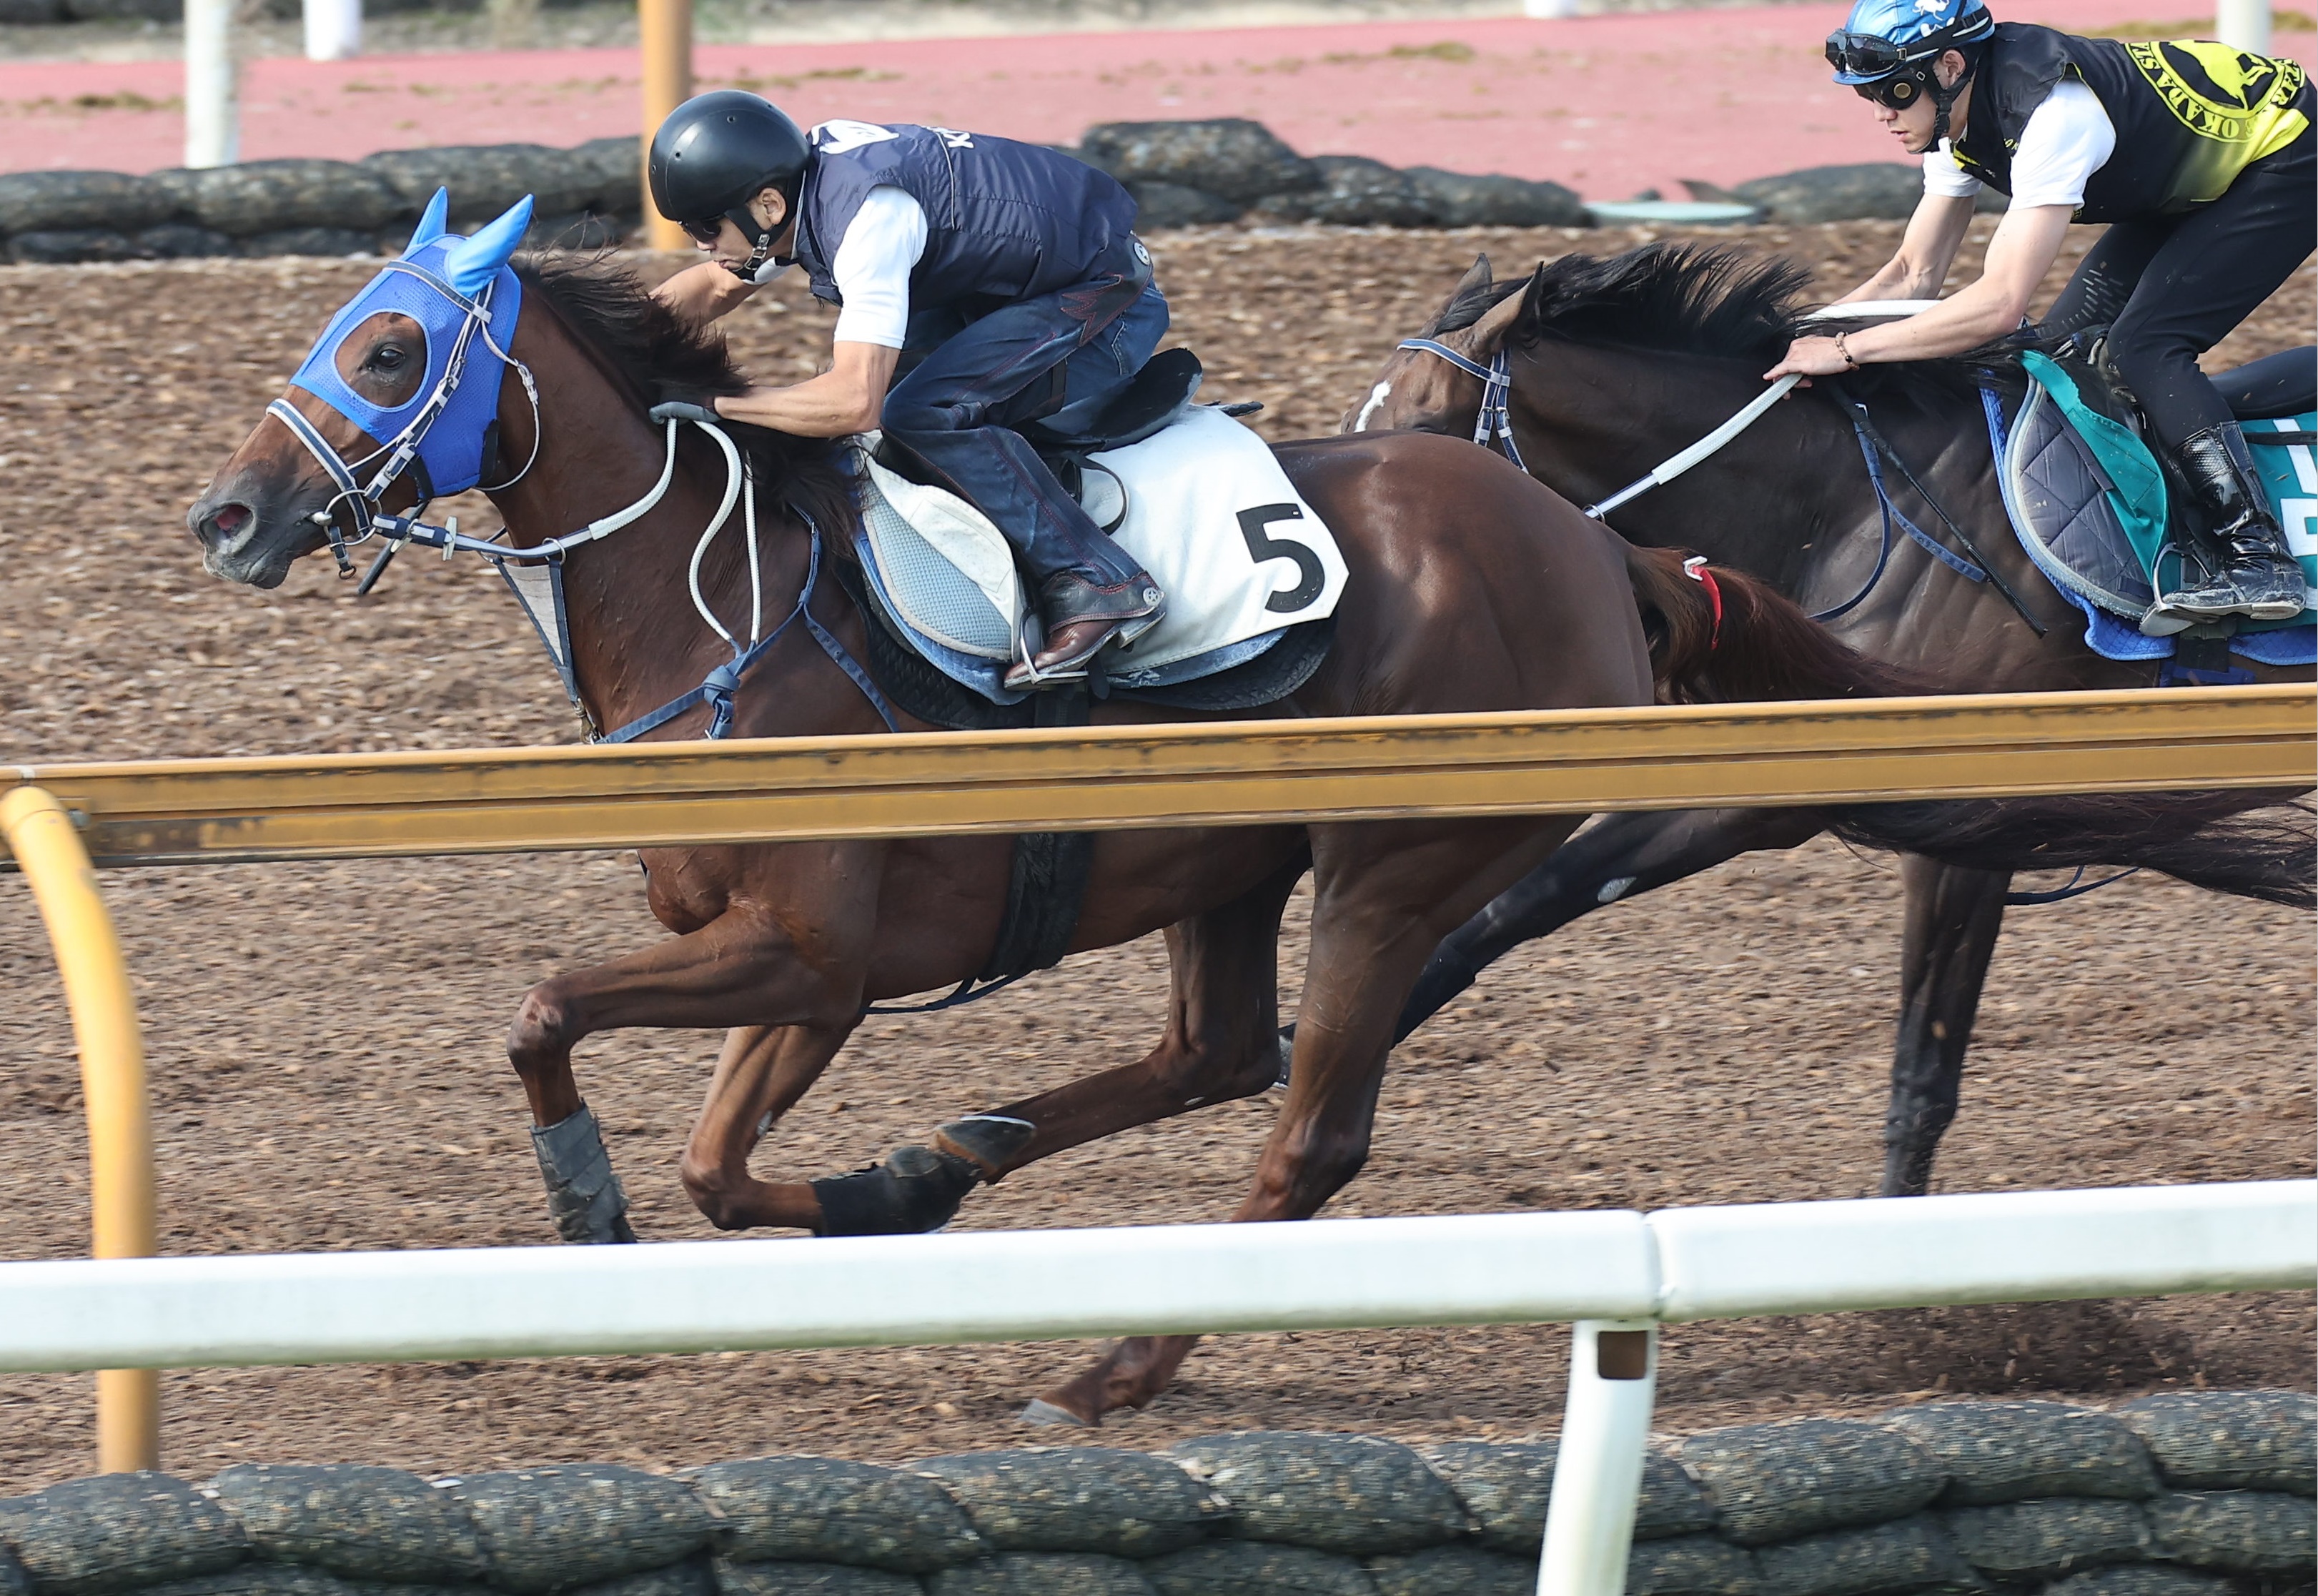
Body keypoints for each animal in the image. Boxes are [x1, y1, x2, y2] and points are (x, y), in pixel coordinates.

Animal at [189, 254, 2290, 1427]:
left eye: (390, 355)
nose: (226, 515)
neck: (734, 605)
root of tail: (1595, 544)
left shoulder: (818, 958)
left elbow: (569, 1033)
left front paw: (593, 1205)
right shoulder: (799, 968)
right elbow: (693, 1142)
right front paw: (848, 1197)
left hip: (1384, 865)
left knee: (1303, 1129)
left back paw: (1109, 1365)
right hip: (1228, 863)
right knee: (1216, 1049)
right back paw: (945, 1173)